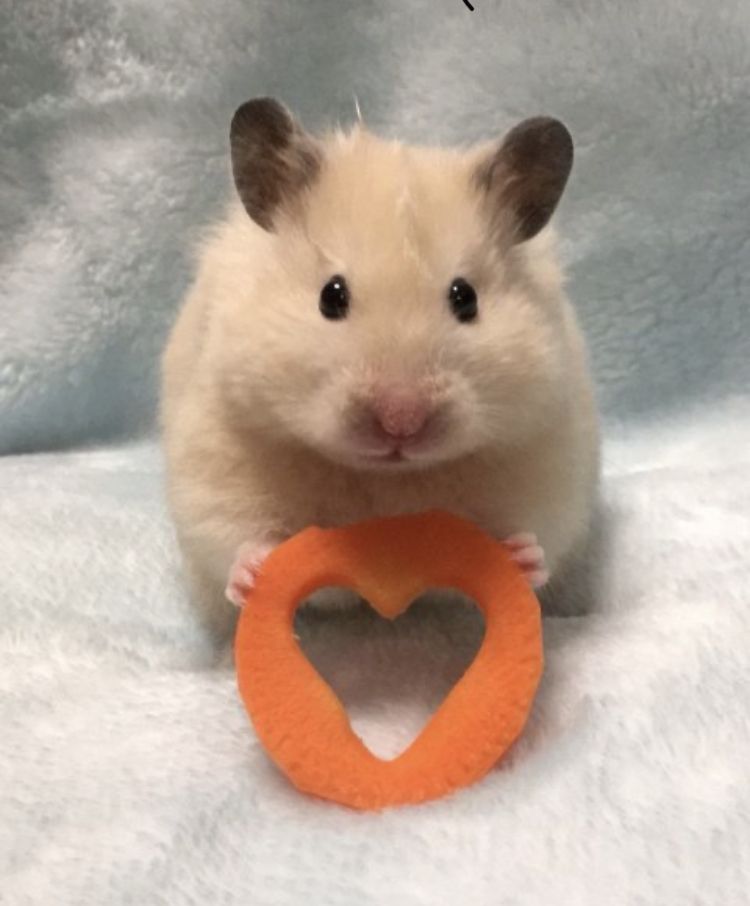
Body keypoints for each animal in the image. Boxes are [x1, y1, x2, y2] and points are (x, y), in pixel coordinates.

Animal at [160, 97, 600, 635]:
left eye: (466, 298)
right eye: (331, 296)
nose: (401, 423)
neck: (386, 477)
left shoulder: (548, 457)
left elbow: (538, 531)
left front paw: (520, 555)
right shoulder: (216, 458)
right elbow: (233, 535)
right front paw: (254, 570)